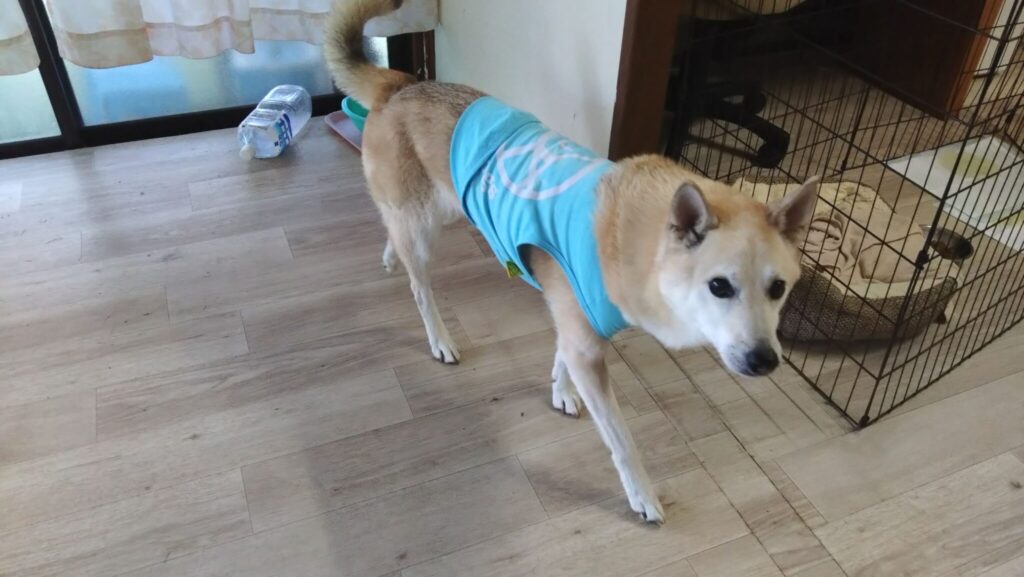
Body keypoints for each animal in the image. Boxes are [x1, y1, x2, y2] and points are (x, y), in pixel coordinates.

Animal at [324, 0, 819, 524]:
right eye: (719, 286)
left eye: (779, 289)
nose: (765, 361)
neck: (632, 242)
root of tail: (402, 84)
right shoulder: (588, 346)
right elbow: (622, 439)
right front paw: (642, 495)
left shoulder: (575, 328)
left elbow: (561, 353)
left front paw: (561, 390)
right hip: (425, 227)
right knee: (420, 287)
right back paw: (439, 336)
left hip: (441, 209)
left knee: (394, 232)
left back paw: (389, 256)